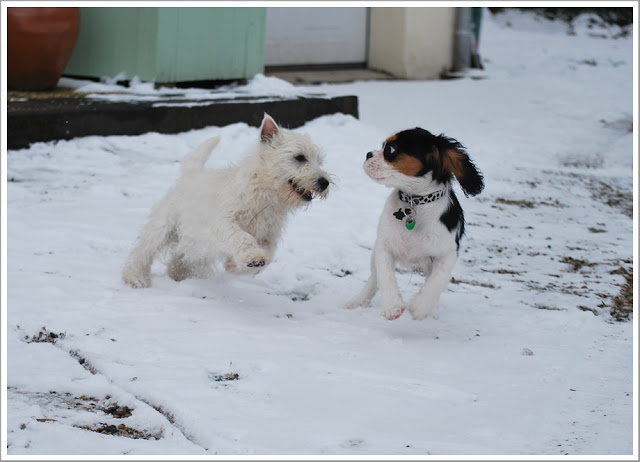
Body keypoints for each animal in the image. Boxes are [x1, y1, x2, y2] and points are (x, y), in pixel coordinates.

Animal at [121, 113, 330, 286]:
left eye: (319, 161)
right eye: (299, 157)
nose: (324, 182)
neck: (265, 195)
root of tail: (190, 175)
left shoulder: (269, 235)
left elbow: (269, 255)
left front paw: (237, 265)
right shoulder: (224, 221)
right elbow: (241, 236)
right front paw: (252, 257)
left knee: (181, 256)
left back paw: (178, 275)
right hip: (163, 227)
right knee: (143, 251)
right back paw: (136, 277)